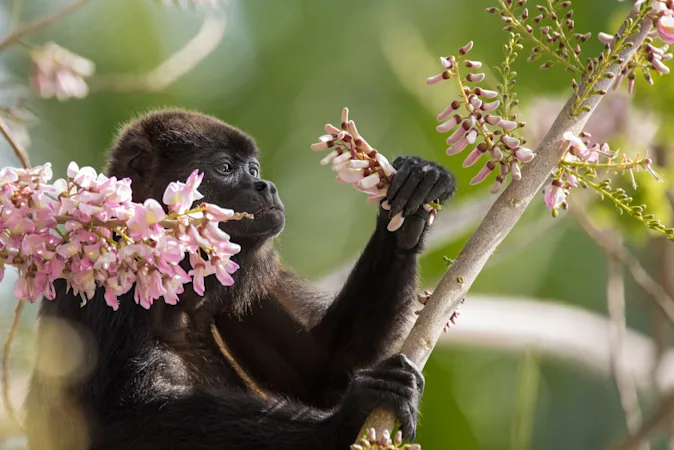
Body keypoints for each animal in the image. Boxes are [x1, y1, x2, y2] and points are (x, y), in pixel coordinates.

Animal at [24, 108, 456, 450]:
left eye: (254, 169)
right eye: (226, 168)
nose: (266, 185)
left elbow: (323, 367)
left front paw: (413, 197)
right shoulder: (103, 273)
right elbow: (117, 418)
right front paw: (345, 419)